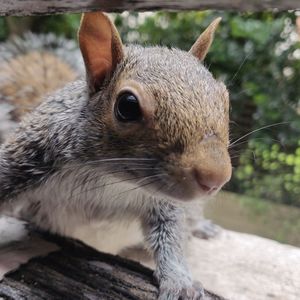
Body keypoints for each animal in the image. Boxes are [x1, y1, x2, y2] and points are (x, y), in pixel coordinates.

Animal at [0, 12, 232, 298]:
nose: (216, 177)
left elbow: (172, 237)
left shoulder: (165, 205)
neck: (111, 180)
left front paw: (180, 281)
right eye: (127, 106)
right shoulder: (29, 156)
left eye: (225, 99)